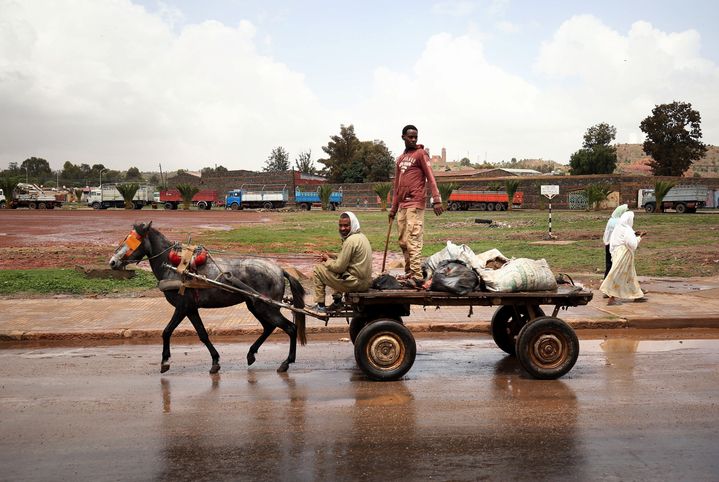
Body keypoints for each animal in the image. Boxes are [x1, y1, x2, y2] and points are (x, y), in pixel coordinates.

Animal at [109, 222, 306, 372]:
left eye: (132, 241)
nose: (112, 262)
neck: (176, 266)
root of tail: (279, 269)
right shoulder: (191, 309)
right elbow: (202, 334)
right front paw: (215, 361)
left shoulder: (182, 307)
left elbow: (167, 331)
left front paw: (165, 361)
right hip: (255, 305)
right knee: (269, 327)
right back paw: (251, 354)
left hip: (266, 307)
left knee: (290, 328)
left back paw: (286, 362)